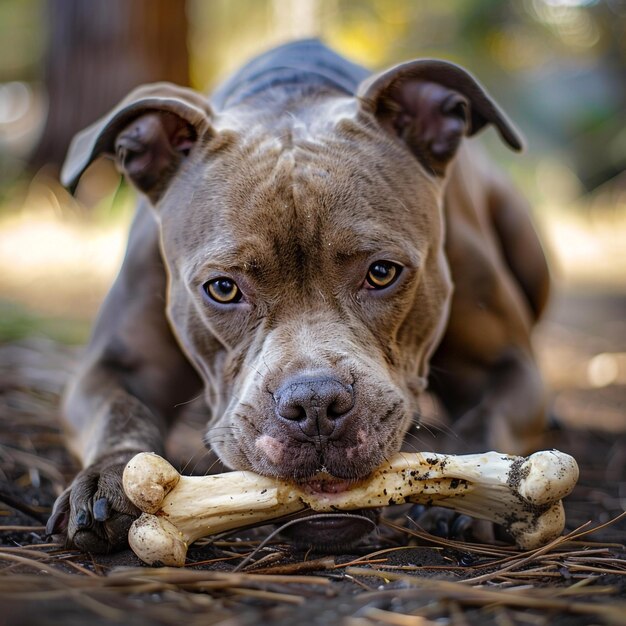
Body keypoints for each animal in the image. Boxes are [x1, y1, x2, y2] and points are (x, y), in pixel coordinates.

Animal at [47, 40, 544, 552]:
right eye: (222, 288)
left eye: (382, 272)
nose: (316, 406)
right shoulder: (116, 365)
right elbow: (120, 411)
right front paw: (109, 478)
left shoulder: (505, 364)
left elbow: (484, 417)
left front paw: (481, 490)